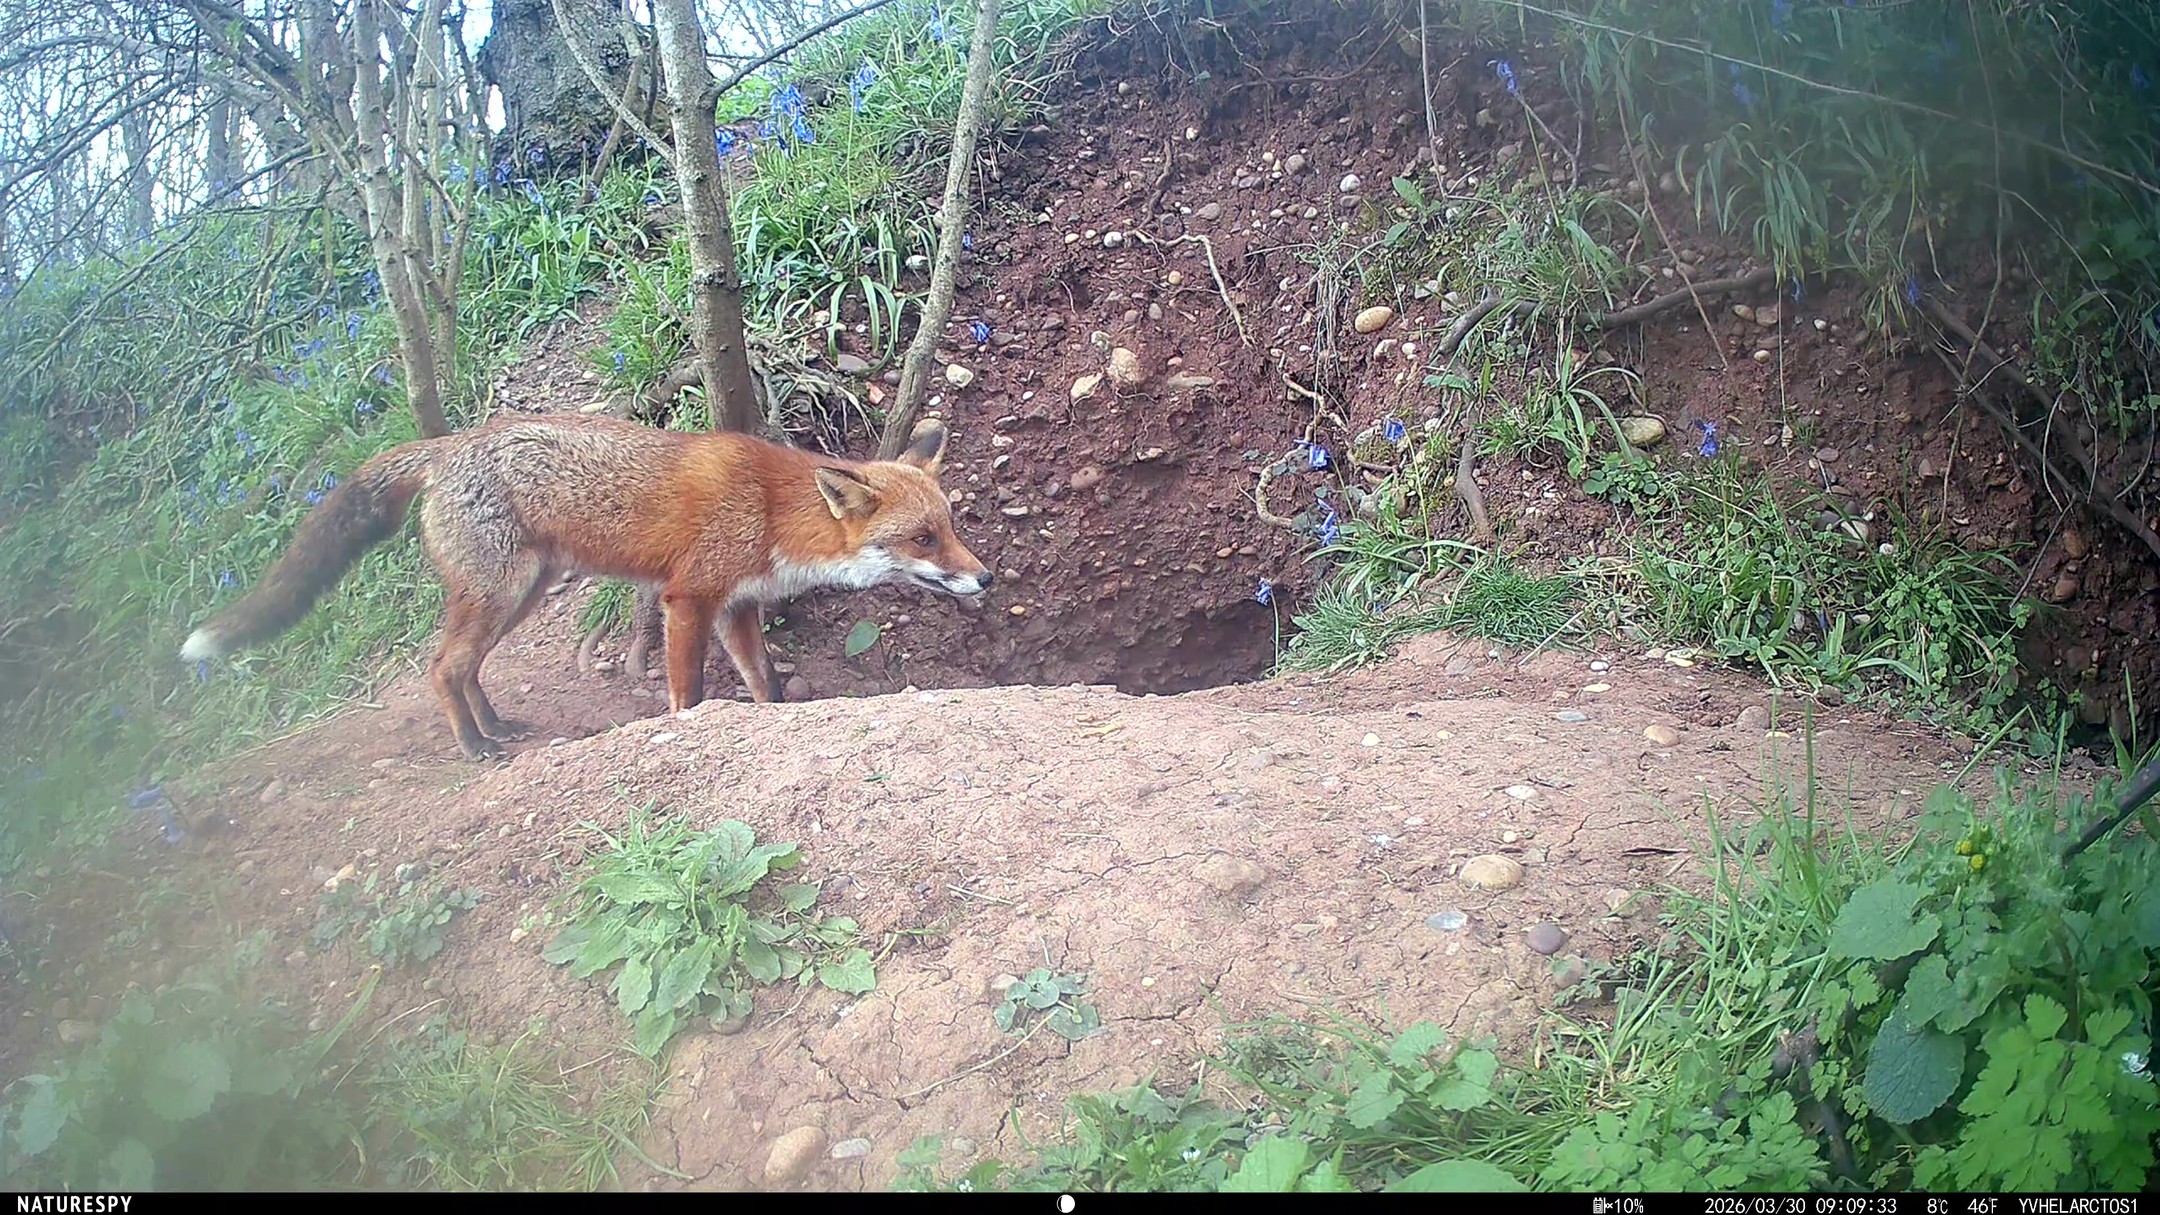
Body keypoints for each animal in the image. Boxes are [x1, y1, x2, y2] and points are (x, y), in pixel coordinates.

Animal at [180, 414, 992, 760]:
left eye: (950, 525)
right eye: (923, 539)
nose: (984, 576)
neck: (770, 509)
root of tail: (448, 445)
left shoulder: (736, 606)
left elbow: (765, 686)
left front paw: (771, 715)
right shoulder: (687, 598)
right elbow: (688, 693)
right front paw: (686, 726)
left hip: (520, 596)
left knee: (465, 667)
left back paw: (496, 728)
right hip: (500, 594)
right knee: (440, 667)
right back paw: (474, 748)